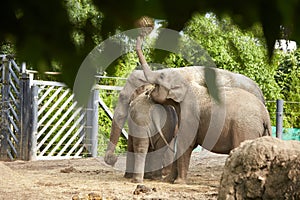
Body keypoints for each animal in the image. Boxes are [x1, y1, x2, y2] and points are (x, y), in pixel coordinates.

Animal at [136, 35, 272, 183]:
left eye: (161, 76)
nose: (141, 35)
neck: (188, 82)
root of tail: (265, 116)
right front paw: (168, 181)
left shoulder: (191, 114)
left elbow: (186, 142)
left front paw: (179, 182)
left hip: (245, 129)